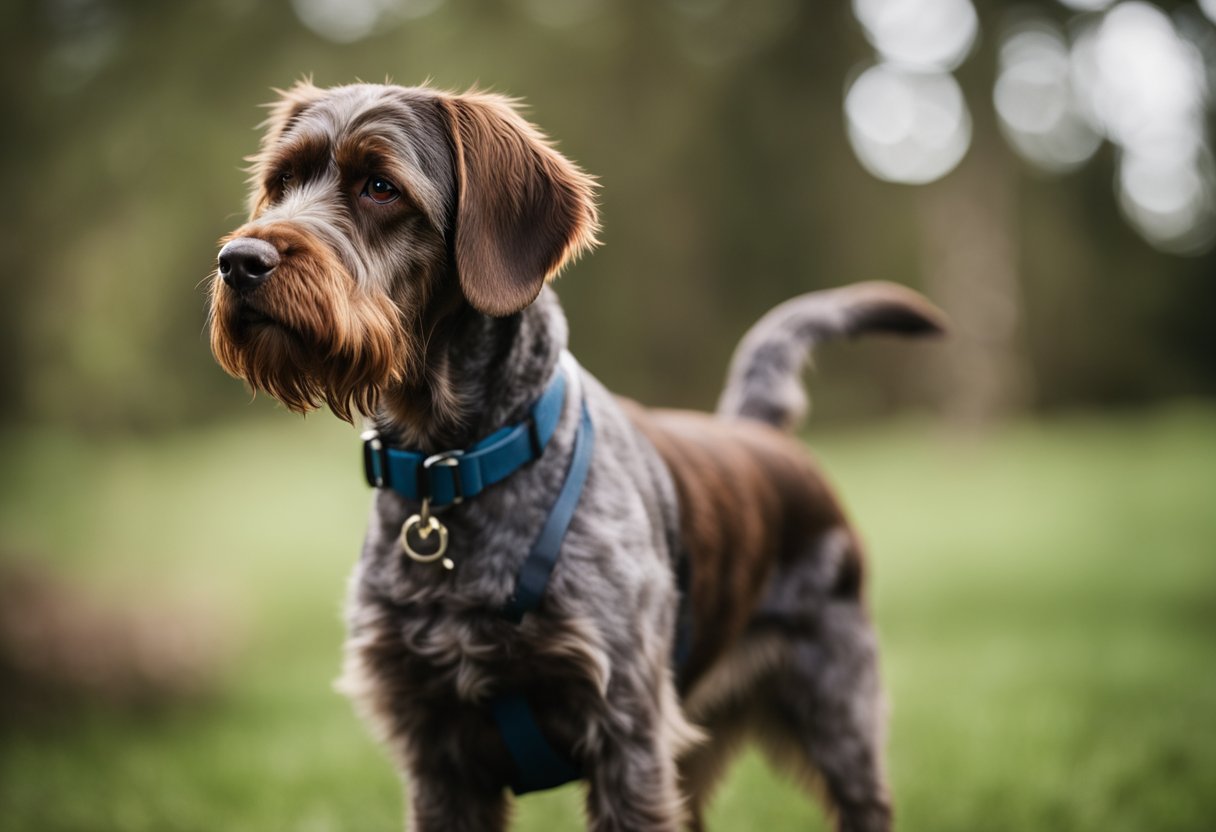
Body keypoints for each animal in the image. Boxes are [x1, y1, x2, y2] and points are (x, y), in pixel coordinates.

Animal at [209, 82, 943, 832]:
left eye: (380, 186)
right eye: (280, 183)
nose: (239, 261)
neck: (454, 472)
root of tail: (761, 434)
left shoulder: (628, 735)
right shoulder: (435, 754)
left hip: (838, 711)